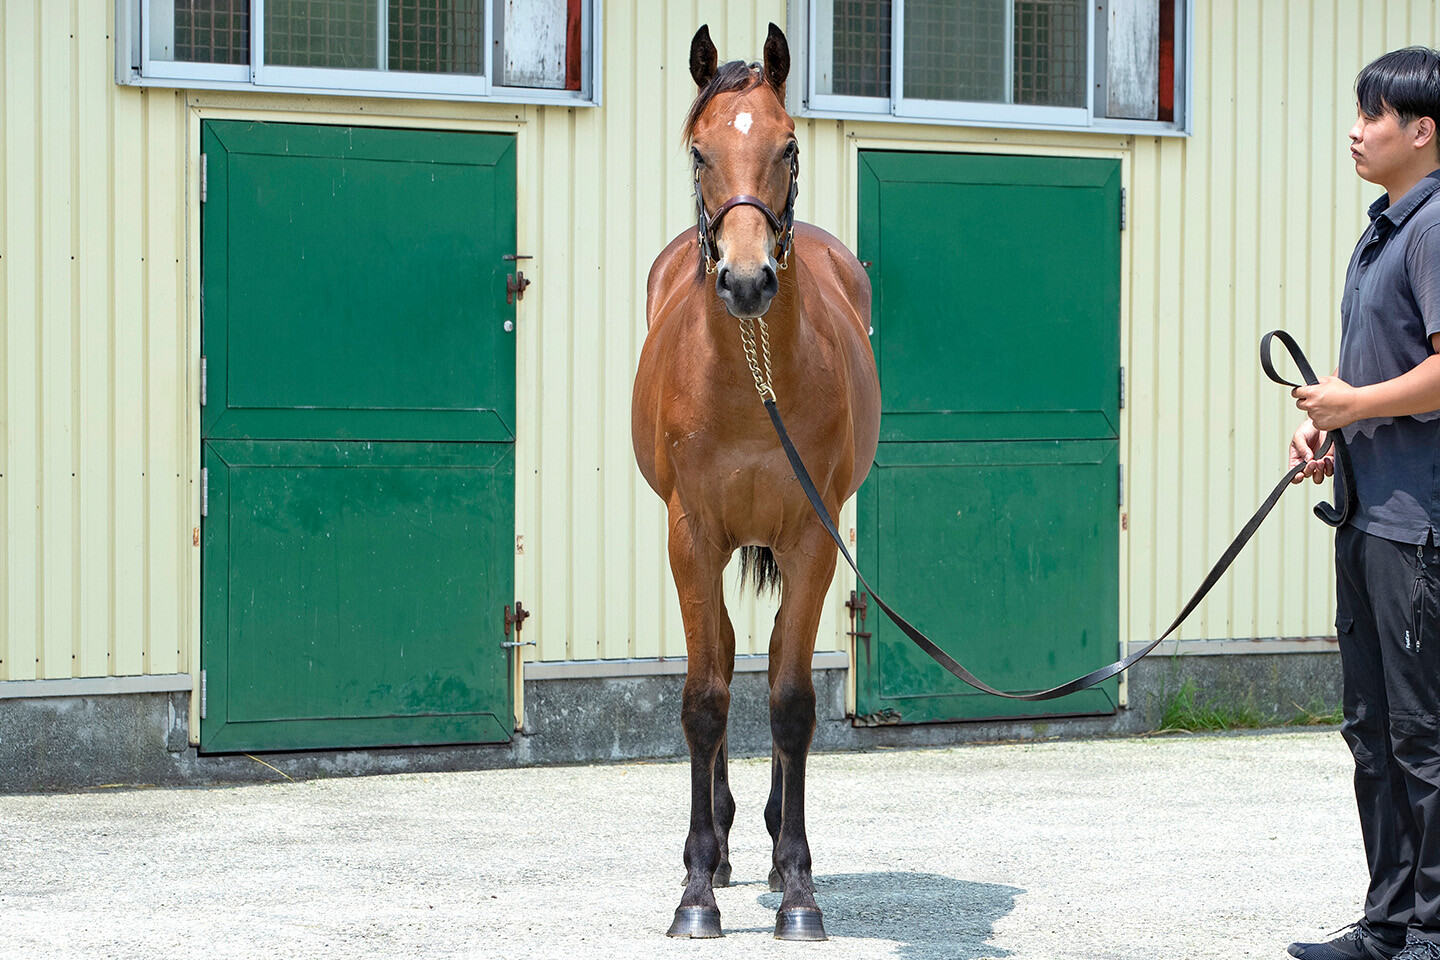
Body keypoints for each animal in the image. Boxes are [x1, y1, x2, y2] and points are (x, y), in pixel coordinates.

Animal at [636, 20, 881, 938]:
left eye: (788, 146)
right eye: (700, 151)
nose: (746, 281)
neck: (750, 382)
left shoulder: (812, 535)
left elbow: (790, 699)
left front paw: (801, 889)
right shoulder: (691, 536)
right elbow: (705, 700)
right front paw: (696, 890)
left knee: (775, 657)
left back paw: (775, 849)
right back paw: (726, 849)